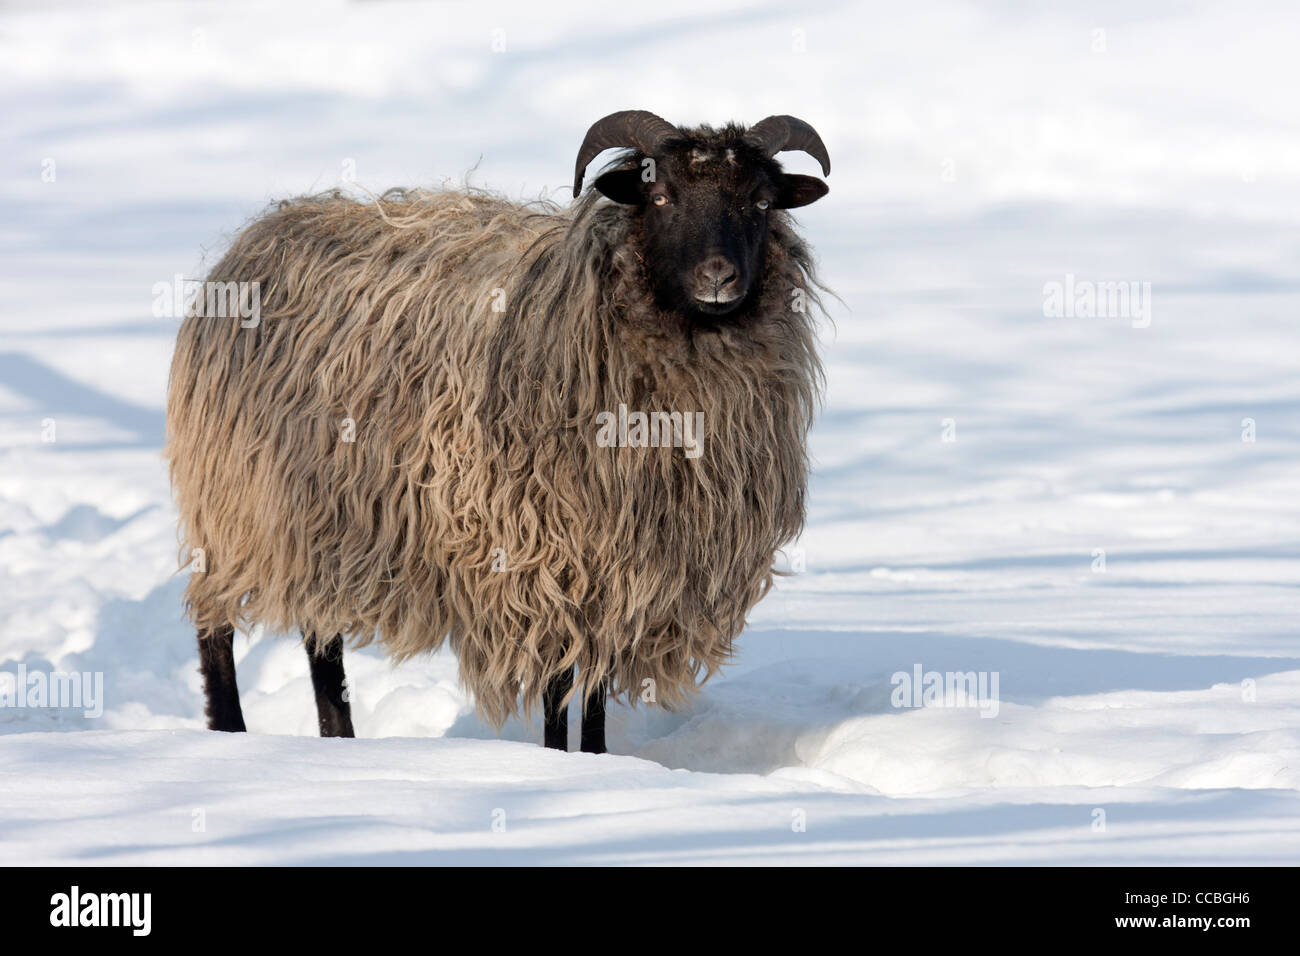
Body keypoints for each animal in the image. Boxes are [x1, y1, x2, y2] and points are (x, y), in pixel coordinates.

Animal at [165, 111, 832, 749]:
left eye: (761, 202)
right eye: (660, 195)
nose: (718, 277)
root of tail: (261, 233)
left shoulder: (622, 573)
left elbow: (592, 692)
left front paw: (596, 762)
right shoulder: (540, 556)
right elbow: (559, 686)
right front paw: (555, 763)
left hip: (325, 519)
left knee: (319, 635)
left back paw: (338, 742)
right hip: (242, 503)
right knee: (215, 623)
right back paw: (231, 734)